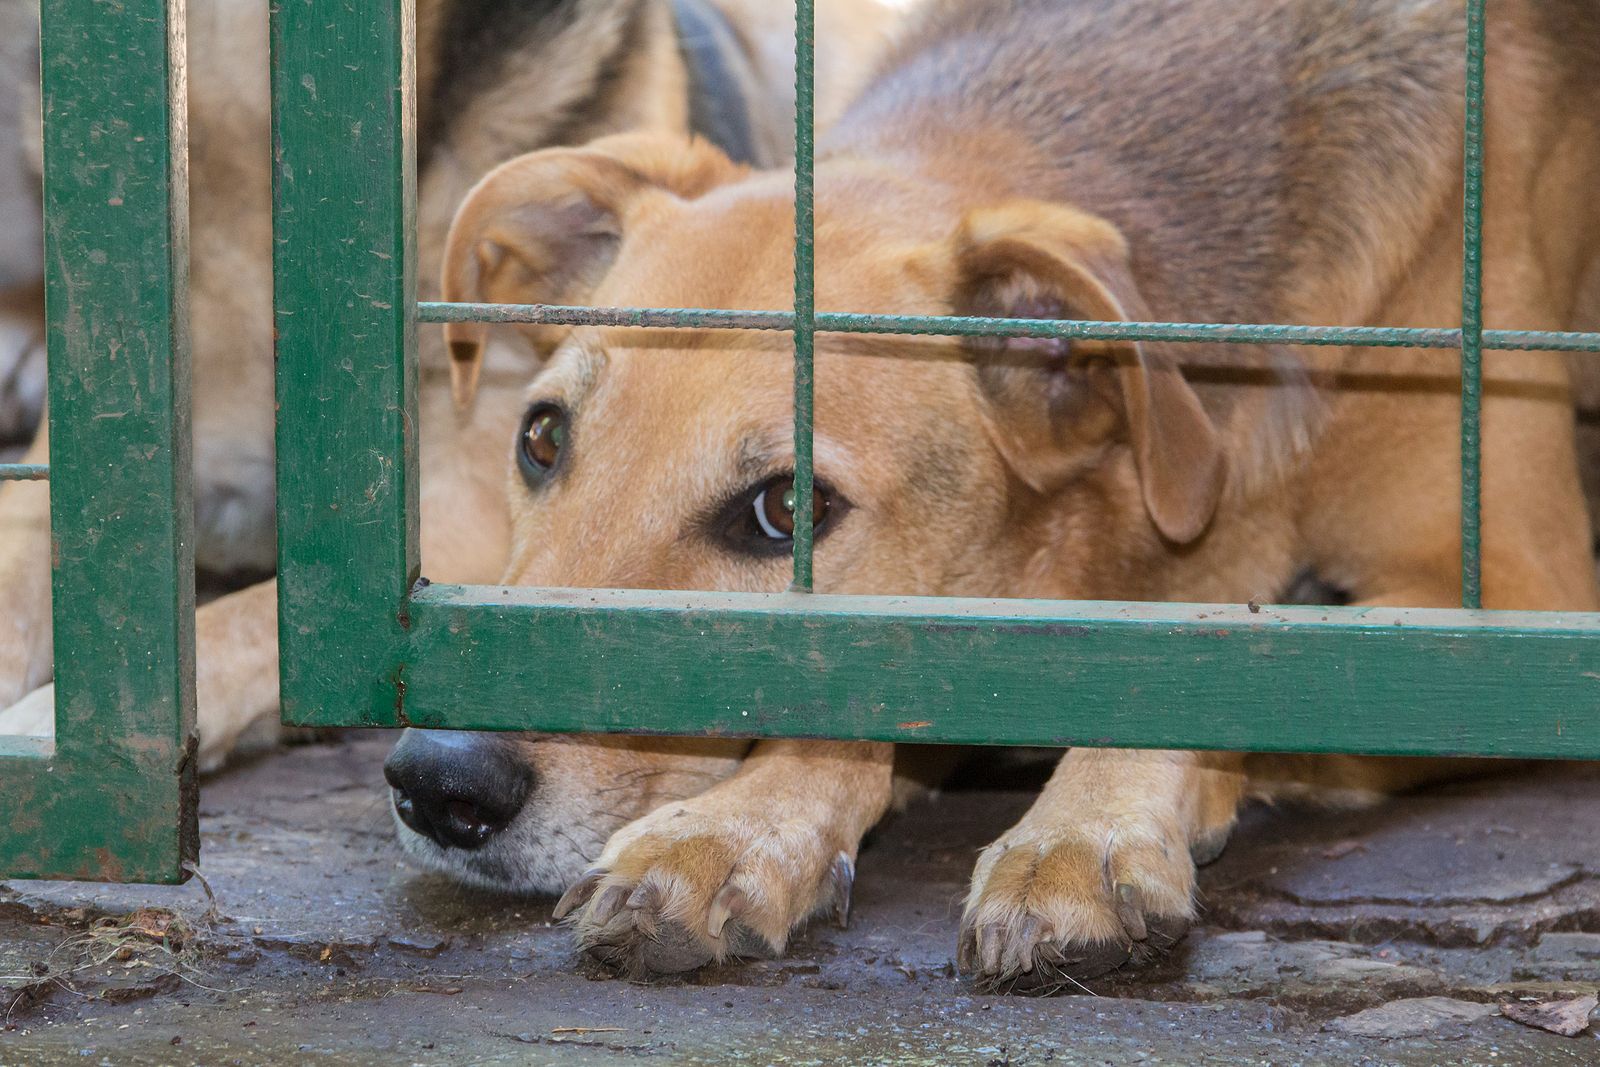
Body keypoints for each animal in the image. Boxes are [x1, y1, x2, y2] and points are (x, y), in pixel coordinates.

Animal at [380, 0, 1593, 991]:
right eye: (542, 438)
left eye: (787, 511)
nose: (438, 778)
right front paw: (732, 830)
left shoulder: (1503, 606)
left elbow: (1254, 660)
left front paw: (1078, 833)